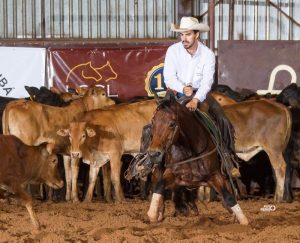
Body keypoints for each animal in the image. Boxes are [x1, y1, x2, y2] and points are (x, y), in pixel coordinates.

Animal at [144, 92, 248, 225]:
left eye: (172, 124)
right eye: (153, 122)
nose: (153, 153)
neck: (190, 150)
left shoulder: (215, 175)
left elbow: (228, 196)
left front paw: (243, 221)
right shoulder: (172, 173)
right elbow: (160, 186)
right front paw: (152, 214)